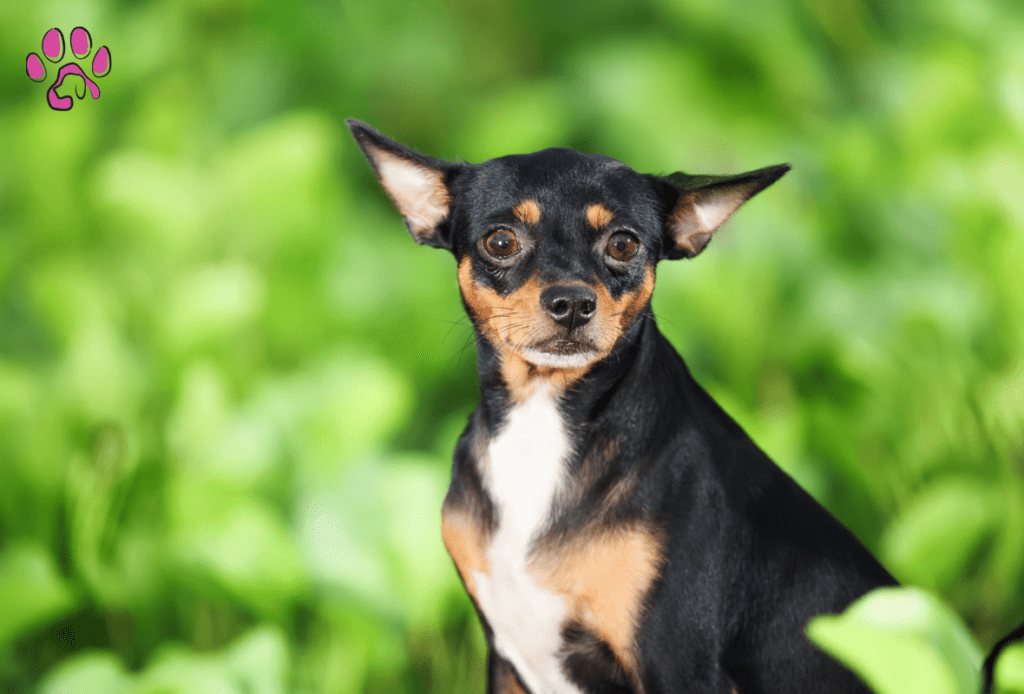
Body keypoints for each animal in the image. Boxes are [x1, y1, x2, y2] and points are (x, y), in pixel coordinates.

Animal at [346, 122, 1015, 691]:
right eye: (501, 240)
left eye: (623, 244)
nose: (571, 302)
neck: (547, 424)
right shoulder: (506, 659)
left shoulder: (676, 665)